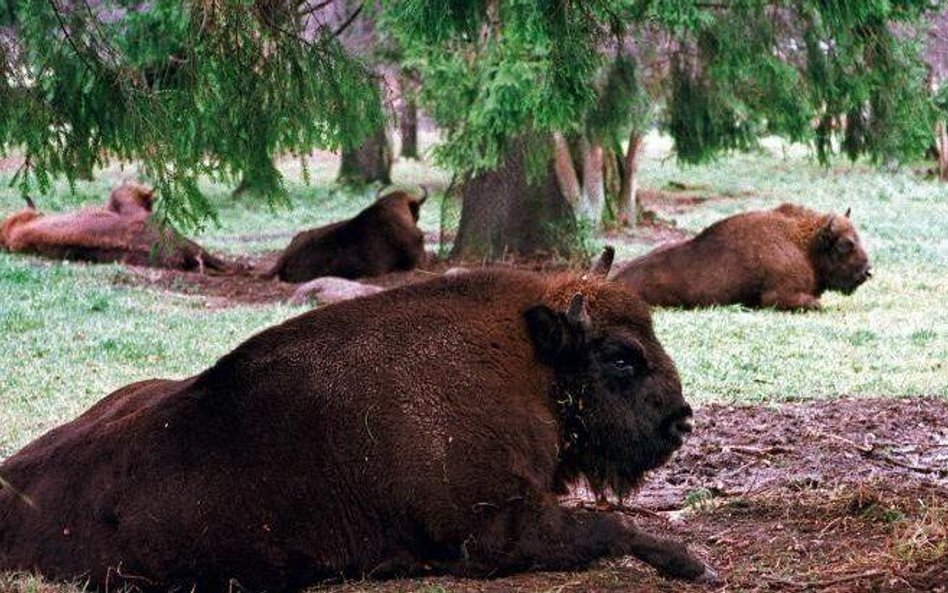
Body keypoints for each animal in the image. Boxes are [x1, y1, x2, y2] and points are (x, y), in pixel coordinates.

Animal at [0, 247, 712, 588]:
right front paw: (689, 563)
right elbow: (607, 528)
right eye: (620, 358)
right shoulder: (493, 531)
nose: (680, 422)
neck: (533, 361)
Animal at [612, 202, 872, 310]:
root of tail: (614, 280)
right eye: (845, 245)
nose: (867, 271)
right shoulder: (777, 294)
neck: (804, 246)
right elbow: (813, 303)